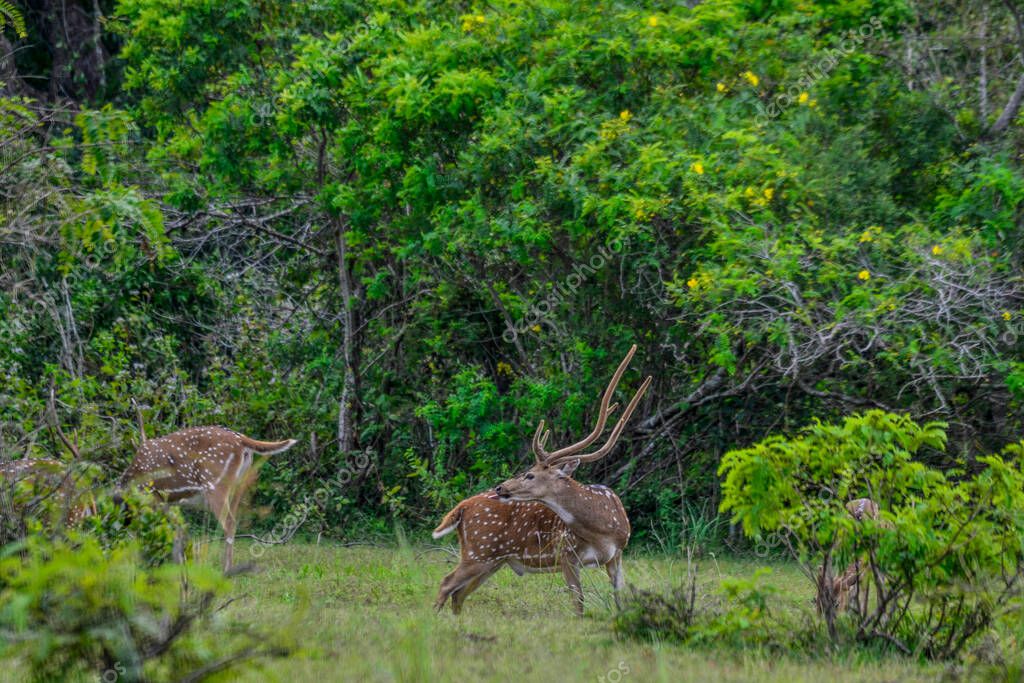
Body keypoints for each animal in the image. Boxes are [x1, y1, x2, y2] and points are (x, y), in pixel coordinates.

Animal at [120, 423, 299, 569]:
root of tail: (242, 440)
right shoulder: (168, 502)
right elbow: (176, 529)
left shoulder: (152, 496)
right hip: (240, 485)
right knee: (234, 519)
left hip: (215, 483)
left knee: (229, 522)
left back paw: (226, 569)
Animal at [432, 344, 647, 618]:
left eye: (530, 474)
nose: (501, 487)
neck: (601, 529)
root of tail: (462, 507)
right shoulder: (566, 553)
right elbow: (579, 603)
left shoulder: (617, 555)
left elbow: (619, 599)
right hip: (479, 551)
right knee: (446, 583)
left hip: (492, 560)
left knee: (457, 593)